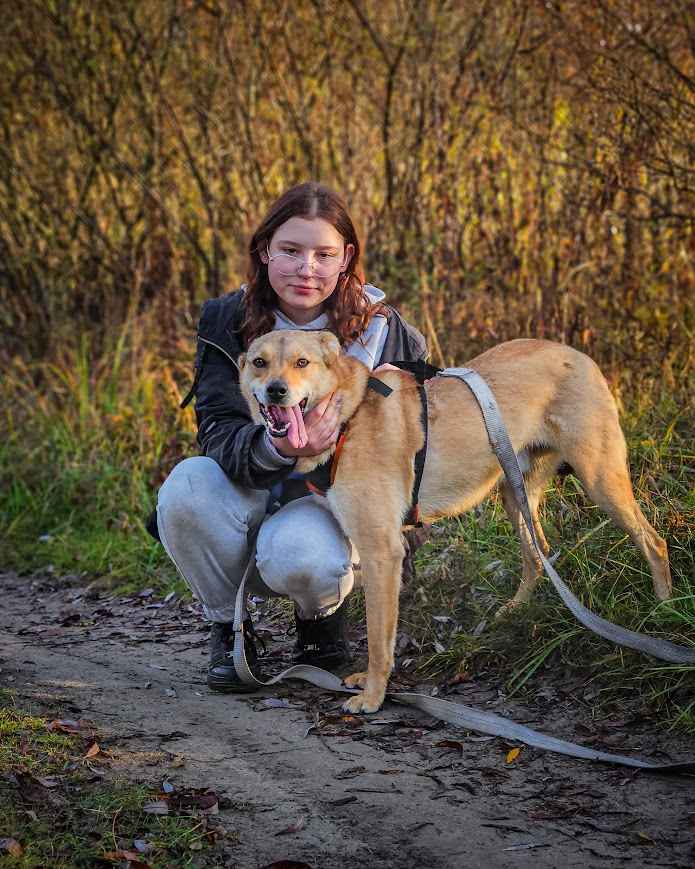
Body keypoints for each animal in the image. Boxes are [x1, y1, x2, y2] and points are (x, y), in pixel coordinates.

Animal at [238, 330, 668, 712]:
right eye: (260, 362)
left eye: (302, 362)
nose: (276, 390)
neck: (348, 412)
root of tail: (578, 355)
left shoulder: (382, 552)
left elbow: (378, 638)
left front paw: (374, 695)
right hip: (515, 492)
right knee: (539, 552)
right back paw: (516, 611)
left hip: (599, 479)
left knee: (653, 541)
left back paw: (663, 610)